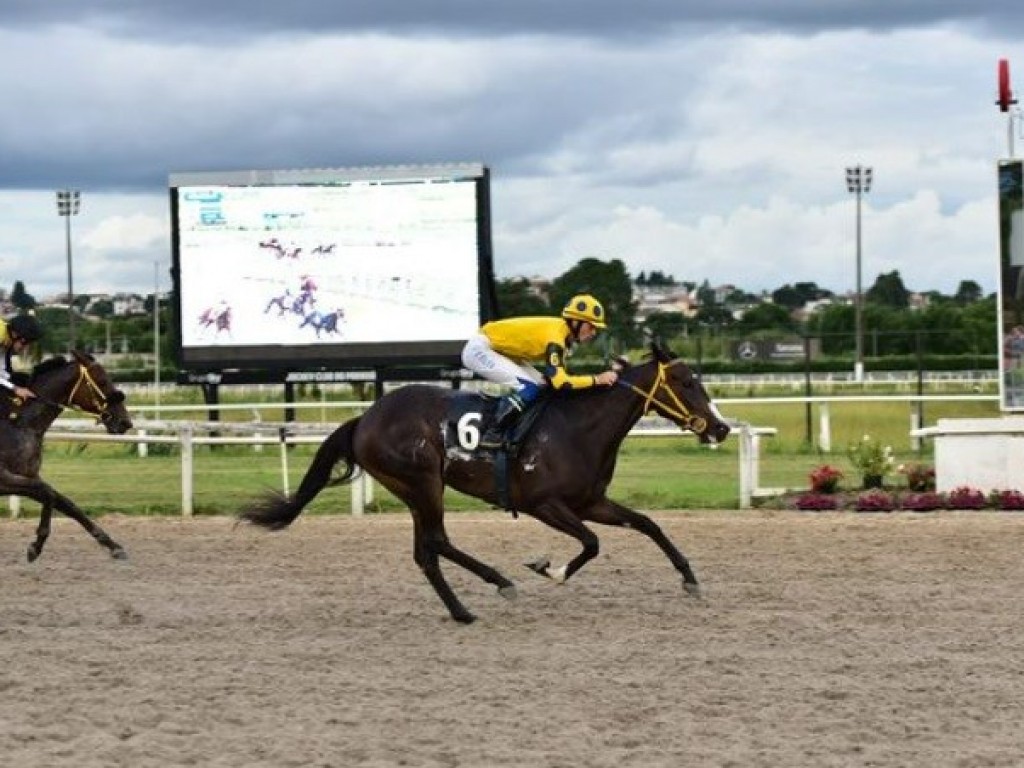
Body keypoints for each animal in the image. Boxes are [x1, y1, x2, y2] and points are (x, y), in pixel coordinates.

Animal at [0, 352, 134, 561]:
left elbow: (66, 503)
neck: (19, 423)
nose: (125, 422)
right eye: (102, 381)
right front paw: (36, 546)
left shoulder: (28, 476)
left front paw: (113, 545)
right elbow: (48, 493)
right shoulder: (5, 479)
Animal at [239, 342, 733, 626]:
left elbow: (648, 524)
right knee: (437, 541)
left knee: (426, 552)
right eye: (686, 381)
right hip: (423, 483)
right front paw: (548, 569)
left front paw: (690, 579)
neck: (578, 426)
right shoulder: (544, 504)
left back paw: (462, 610)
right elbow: (592, 543)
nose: (722, 427)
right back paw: (498, 582)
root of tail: (365, 418)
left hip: (414, 490)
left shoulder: (590, 502)